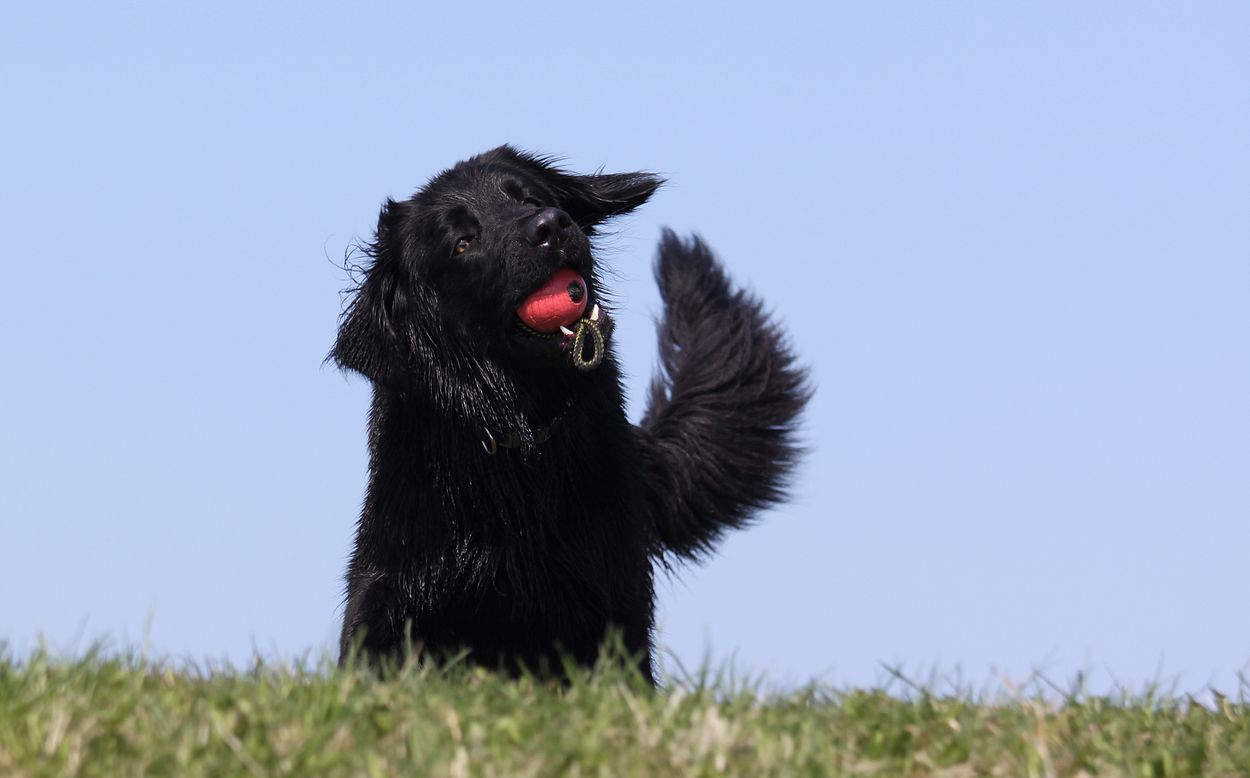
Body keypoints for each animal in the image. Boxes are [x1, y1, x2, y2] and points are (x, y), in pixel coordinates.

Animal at [331, 146, 809, 682]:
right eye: (462, 242)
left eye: (527, 198)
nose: (551, 226)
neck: (516, 447)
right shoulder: (390, 586)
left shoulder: (612, 599)